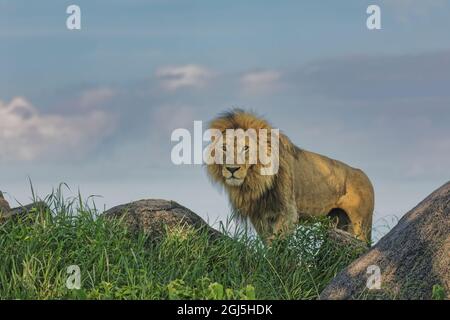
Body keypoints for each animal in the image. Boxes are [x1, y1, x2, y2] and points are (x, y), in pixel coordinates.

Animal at [206, 110, 374, 242]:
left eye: (246, 148)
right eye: (224, 148)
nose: (231, 169)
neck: (255, 181)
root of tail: (364, 175)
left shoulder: (287, 210)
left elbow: (277, 241)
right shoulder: (259, 214)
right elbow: (267, 240)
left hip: (360, 224)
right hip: (337, 220)